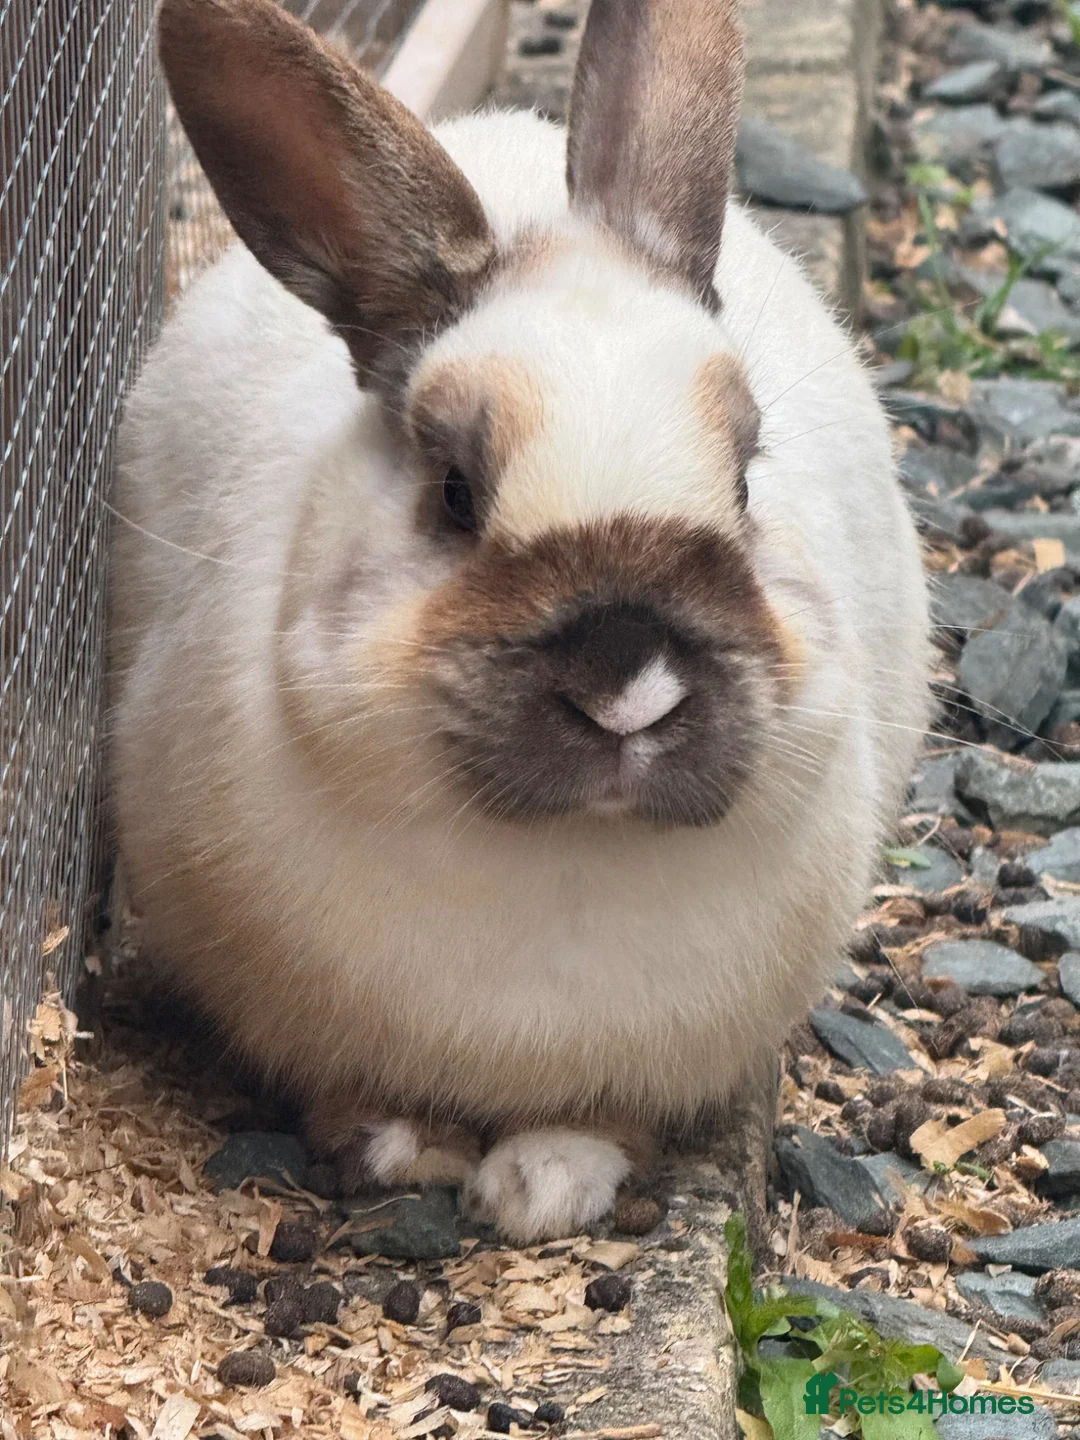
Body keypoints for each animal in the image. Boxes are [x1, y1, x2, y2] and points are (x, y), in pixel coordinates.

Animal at [108, 0, 930, 1243]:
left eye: (746, 482)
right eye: (454, 491)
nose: (628, 688)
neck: (563, 863)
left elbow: (598, 1123)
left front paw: (547, 1186)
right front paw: (403, 1149)